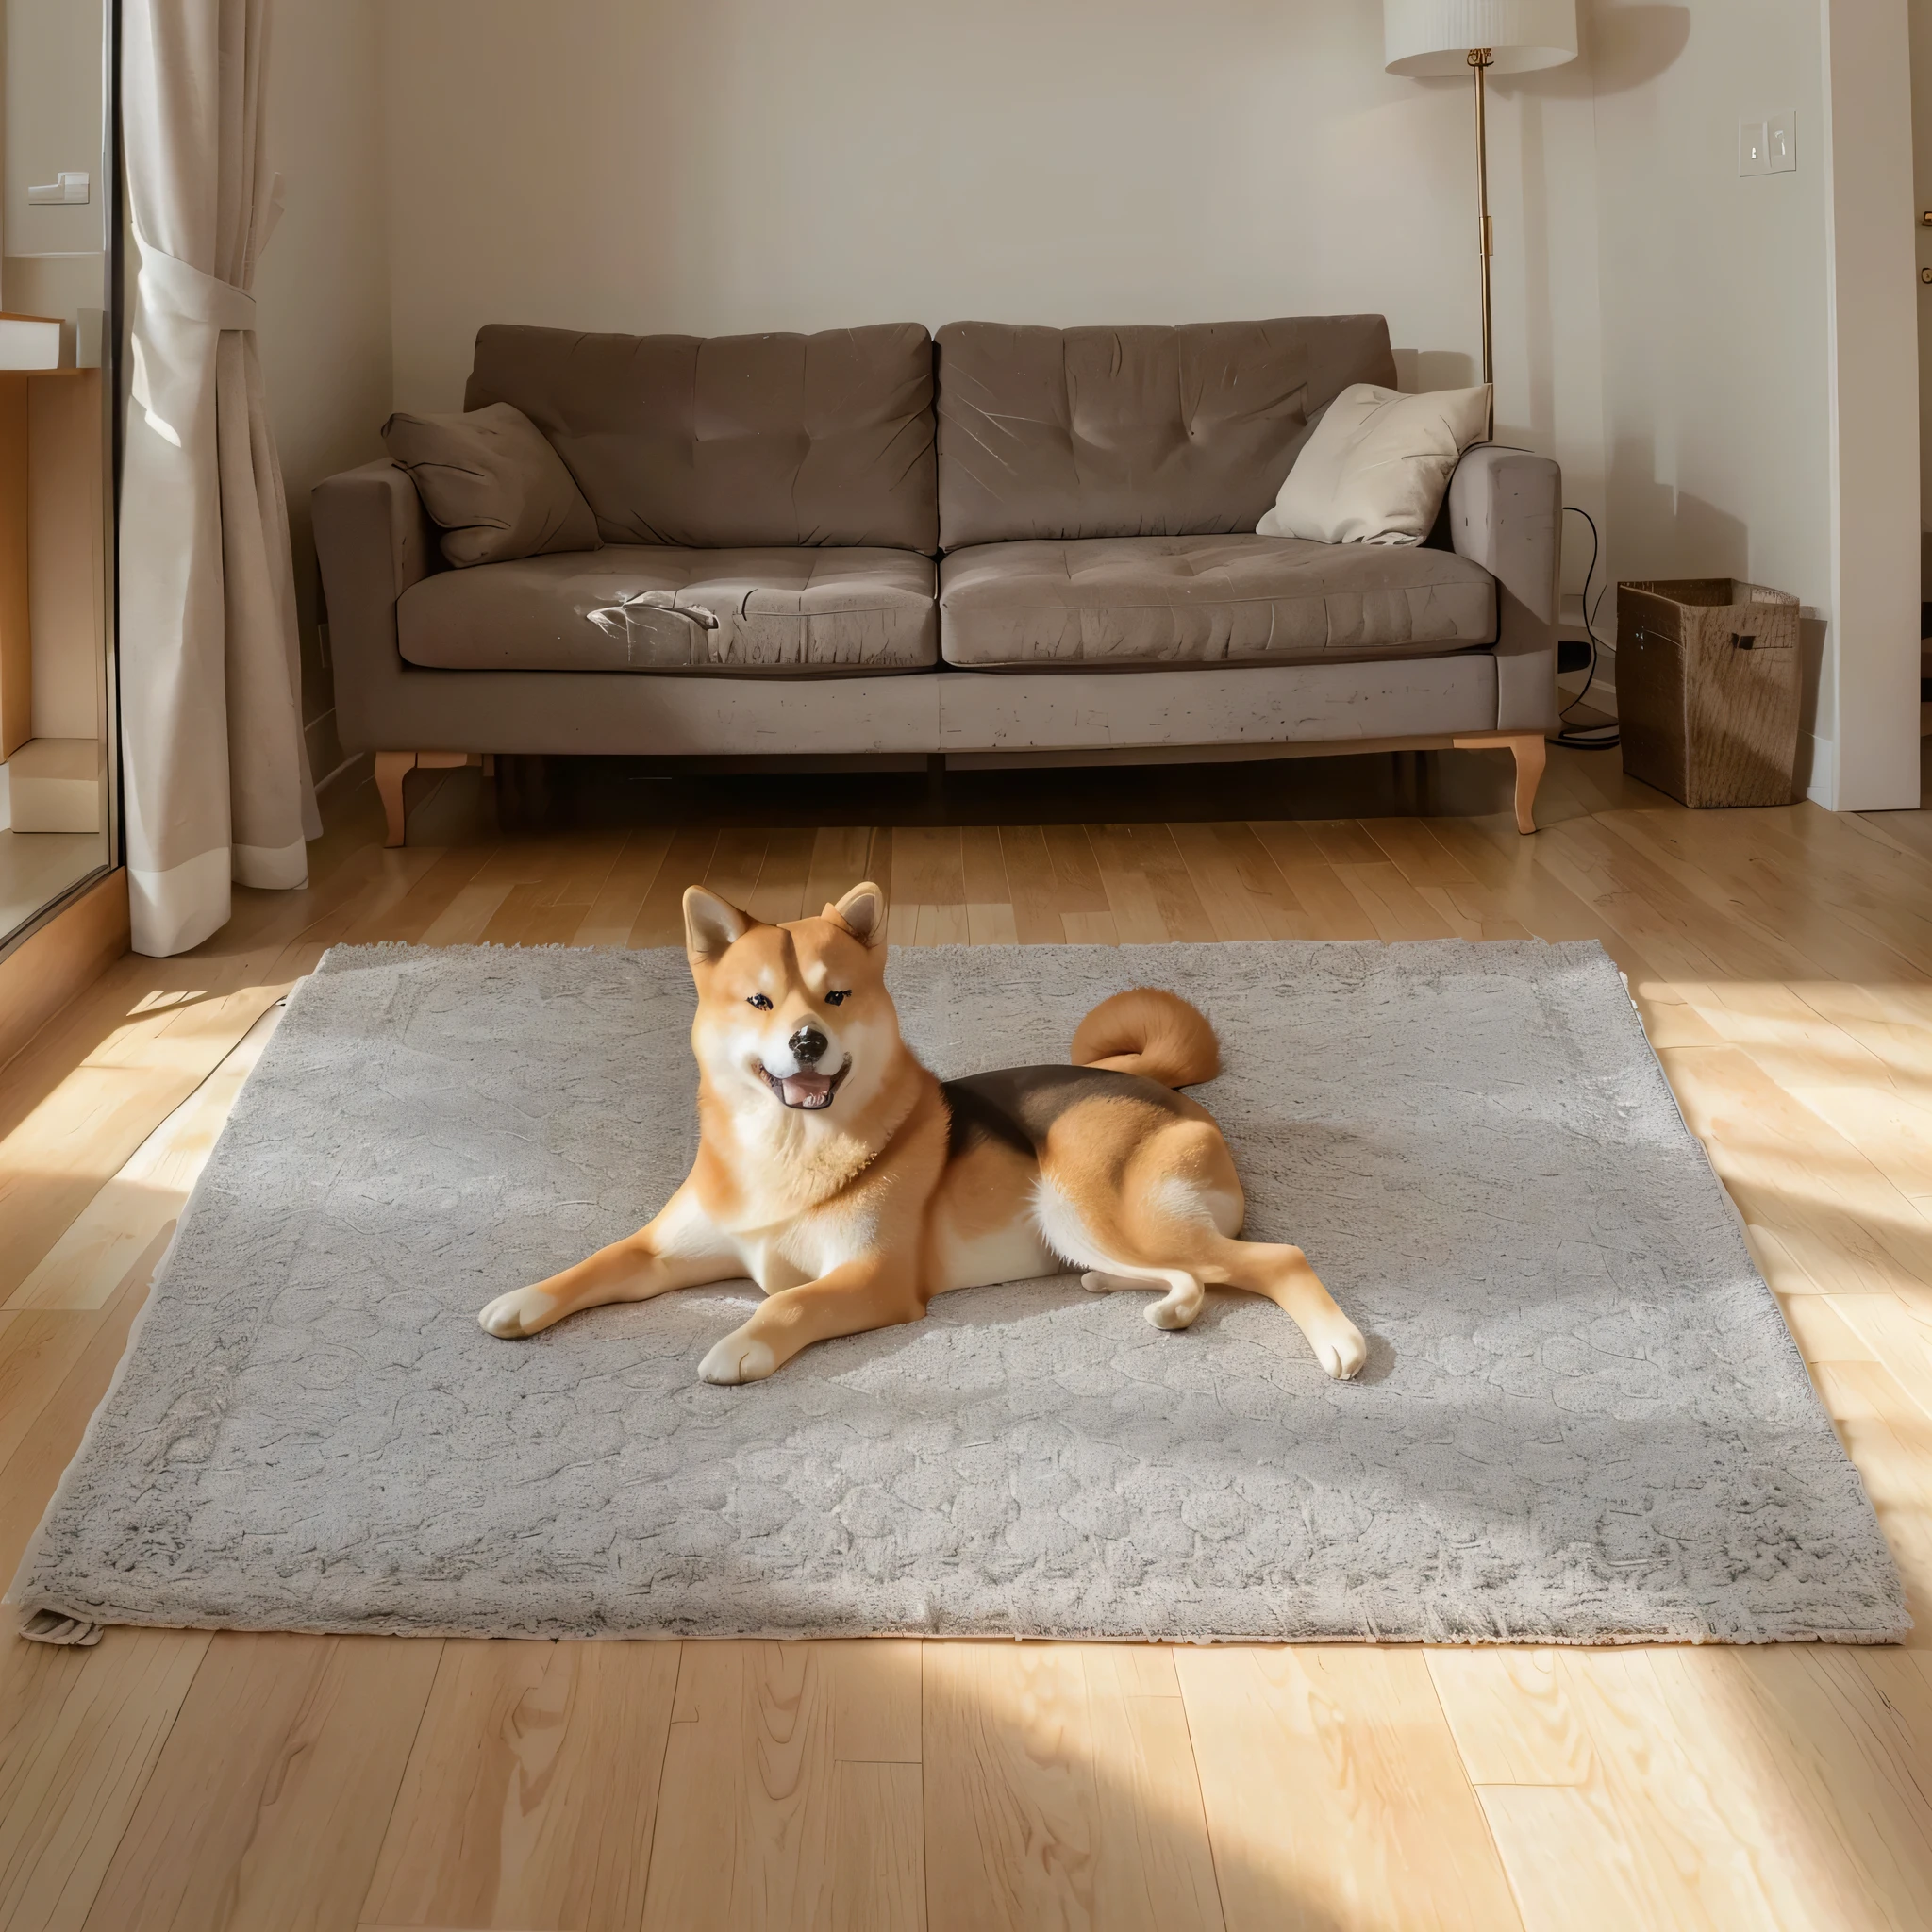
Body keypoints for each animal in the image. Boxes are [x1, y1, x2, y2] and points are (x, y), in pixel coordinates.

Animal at [475, 884, 1367, 1383]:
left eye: (836, 997)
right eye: (760, 1001)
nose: (808, 1042)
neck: (788, 1147)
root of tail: (1160, 1086)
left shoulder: (871, 1279)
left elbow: (788, 1303)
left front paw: (741, 1344)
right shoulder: (664, 1252)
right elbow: (599, 1261)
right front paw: (524, 1298)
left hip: (1095, 1202)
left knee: (1274, 1260)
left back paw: (1341, 1345)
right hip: (1089, 1228)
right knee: (1190, 1278)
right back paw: (1138, 1296)